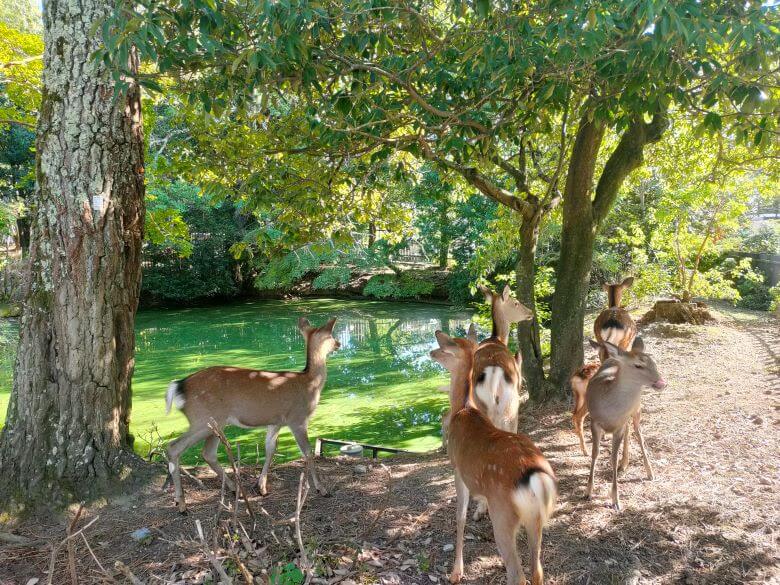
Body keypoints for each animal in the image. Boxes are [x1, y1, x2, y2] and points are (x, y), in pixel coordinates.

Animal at [165, 314, 338, 512]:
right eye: (331, 335)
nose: (339, 343)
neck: (310, 383)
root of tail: (178, 386)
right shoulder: (297, 418)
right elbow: (308, 452)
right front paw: (322, 489)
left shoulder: (275, 422)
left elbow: (270, 449)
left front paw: (261, 487)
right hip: (203, 419)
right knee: (174, 447)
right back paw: (182, 504)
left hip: (215, 423)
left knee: (208, 453)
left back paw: (234, 489)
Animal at [432, 328, 556, 584]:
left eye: (447, 347)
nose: (431, 351)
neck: (462, 409)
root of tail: (536, 477)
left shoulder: (458, 470)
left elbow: (460, 517)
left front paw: (456, 572)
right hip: (536, 518)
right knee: (537, 571)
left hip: (503, 515)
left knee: (518, 574)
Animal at [584, 336, 664, 508]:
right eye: (638, 365)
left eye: (654, 363)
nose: (661, 382)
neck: (610, 410)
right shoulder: (594, 421)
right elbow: (595, 454)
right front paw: (588, 492)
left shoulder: (619, 426)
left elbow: (613, 459)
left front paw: (615, 500)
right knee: (629, 431)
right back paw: (625, 463)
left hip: (637, 409)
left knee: (638, 434)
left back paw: (649, 471)